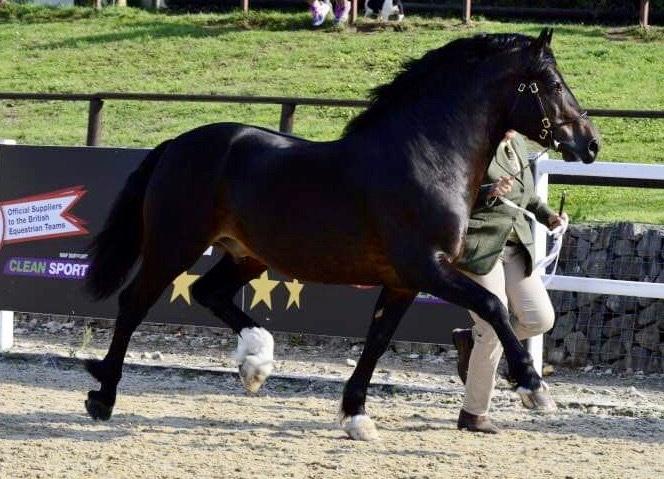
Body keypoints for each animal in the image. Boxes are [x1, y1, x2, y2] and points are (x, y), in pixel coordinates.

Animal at [84, 28, 600, 442]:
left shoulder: (403, 281)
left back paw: (255, 363)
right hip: (174, 244)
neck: (426, 156)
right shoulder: (427, 267)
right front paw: (533, 388)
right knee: (133, 303)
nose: (590, 143)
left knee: (208, 292)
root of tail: (178, 144)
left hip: (247, 255)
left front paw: (355, 417)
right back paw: (102, 396)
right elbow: (493, 306)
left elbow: (377, 341)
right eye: (554, 84)